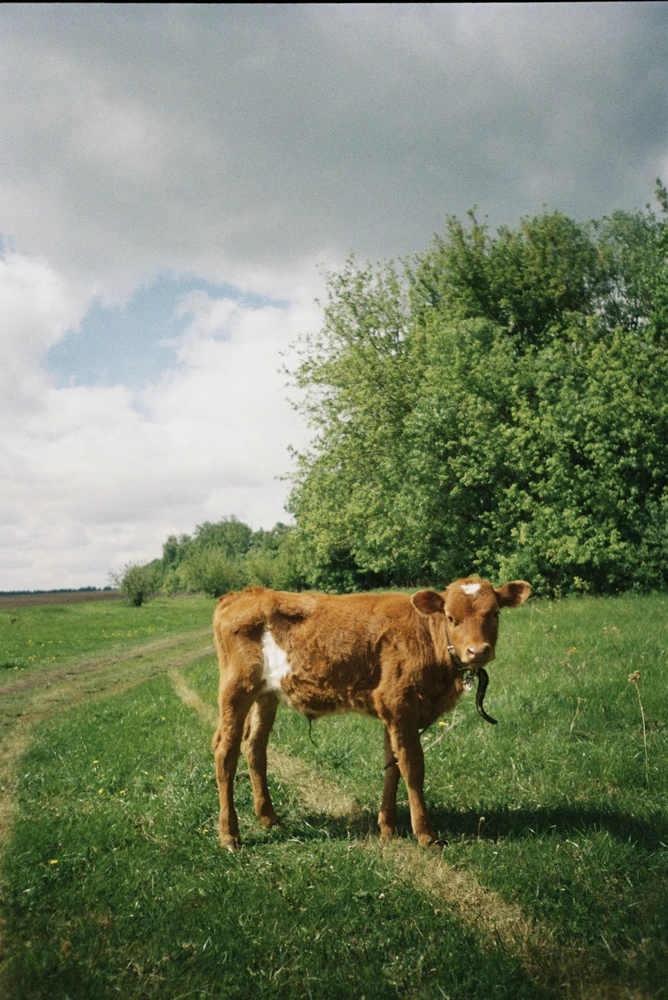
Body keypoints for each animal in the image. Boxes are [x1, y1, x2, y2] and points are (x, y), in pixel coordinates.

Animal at [211, 580, 528, 852]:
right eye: (451, 617)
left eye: (495, 613)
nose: (478, 651)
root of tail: (245, 593)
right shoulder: (399, 704)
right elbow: (413, 767)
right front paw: (426, 835)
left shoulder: (393, 712)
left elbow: (393, 765)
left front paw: (387, 827)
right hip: (236, 688)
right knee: (226, 750)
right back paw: (230, 835)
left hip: (266, 694)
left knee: (255, 745)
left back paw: (269, 817)